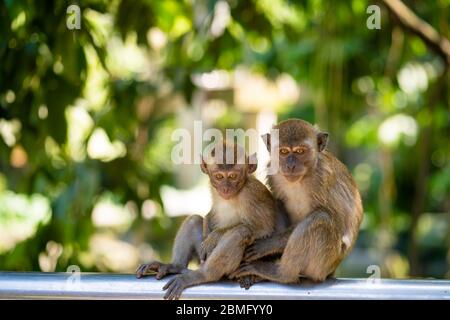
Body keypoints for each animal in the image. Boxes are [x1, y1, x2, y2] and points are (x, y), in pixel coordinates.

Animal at [136, 141, 278, 298]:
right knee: (193, 220)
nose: (225, 188)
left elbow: (264, 228)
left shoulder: (251, 194)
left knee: (241, 232)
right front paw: (208, 227)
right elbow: (210, 215)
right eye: (219, 177)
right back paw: (175, 266)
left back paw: (203, 275)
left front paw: (215, 236)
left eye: (233, 176)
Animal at [230, 119, 364, 286]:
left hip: (323, 265)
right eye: (283, 151)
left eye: (300, 151)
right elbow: (278, 202)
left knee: (321, 218)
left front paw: (269, 245)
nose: (291, 165)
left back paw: (281, 273)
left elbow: (337, 219)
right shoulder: (274, 175)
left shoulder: (322, 178)